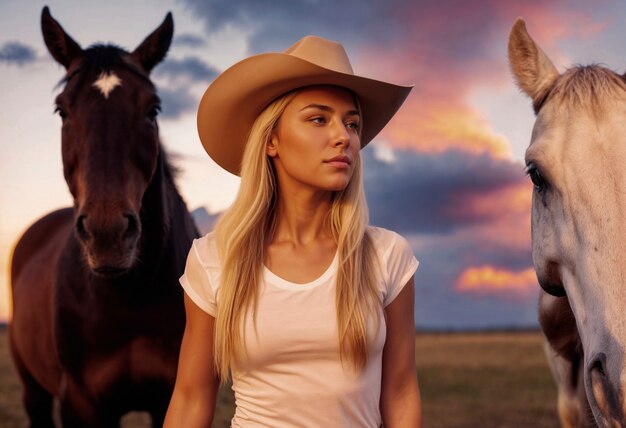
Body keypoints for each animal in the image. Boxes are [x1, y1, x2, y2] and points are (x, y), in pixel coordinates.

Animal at [8, 7, 196, 428]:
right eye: (62, 109)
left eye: (153, 108)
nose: (107, 235)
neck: (132, 299)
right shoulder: (81, 402)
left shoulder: (171, 396)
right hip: (33, 388)